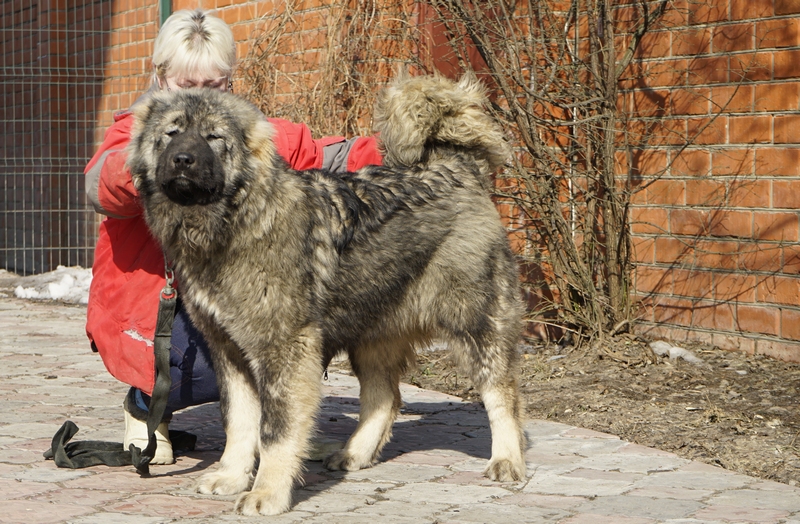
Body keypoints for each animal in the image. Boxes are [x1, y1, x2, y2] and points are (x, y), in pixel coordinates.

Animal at [128, 73, 528, 516]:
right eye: (172, 133)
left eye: (214, 137)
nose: (183, 159)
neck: (237, 220)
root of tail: (455, 166)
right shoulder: (229, 352)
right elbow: (240, 423)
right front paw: (231, 476)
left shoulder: (284, 349)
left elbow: (275, 431)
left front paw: (267, 492)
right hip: (372, 331)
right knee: (385, 398)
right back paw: (355, 453)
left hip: (474, 320)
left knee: (501, 392)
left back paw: (506, 460)